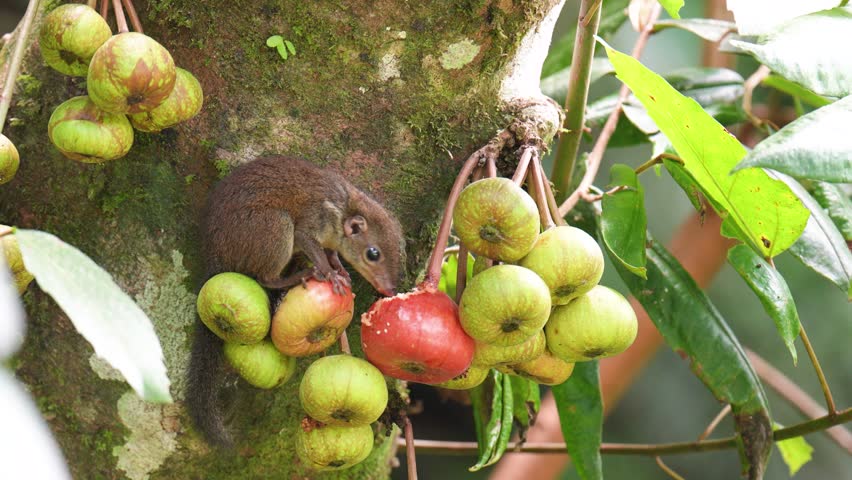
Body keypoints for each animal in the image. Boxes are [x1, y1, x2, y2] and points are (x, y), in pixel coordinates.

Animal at [186, 155, 405, 448]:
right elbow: (314, 248)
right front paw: (330, 274)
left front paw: (341, 269)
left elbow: (332, 253)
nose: (390, 289)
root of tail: (214, 258)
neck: (344, 206)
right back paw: (300, 275)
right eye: (373, 254)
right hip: (276, 227)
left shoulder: (330, 239)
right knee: (266, 277)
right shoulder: (310, 226)